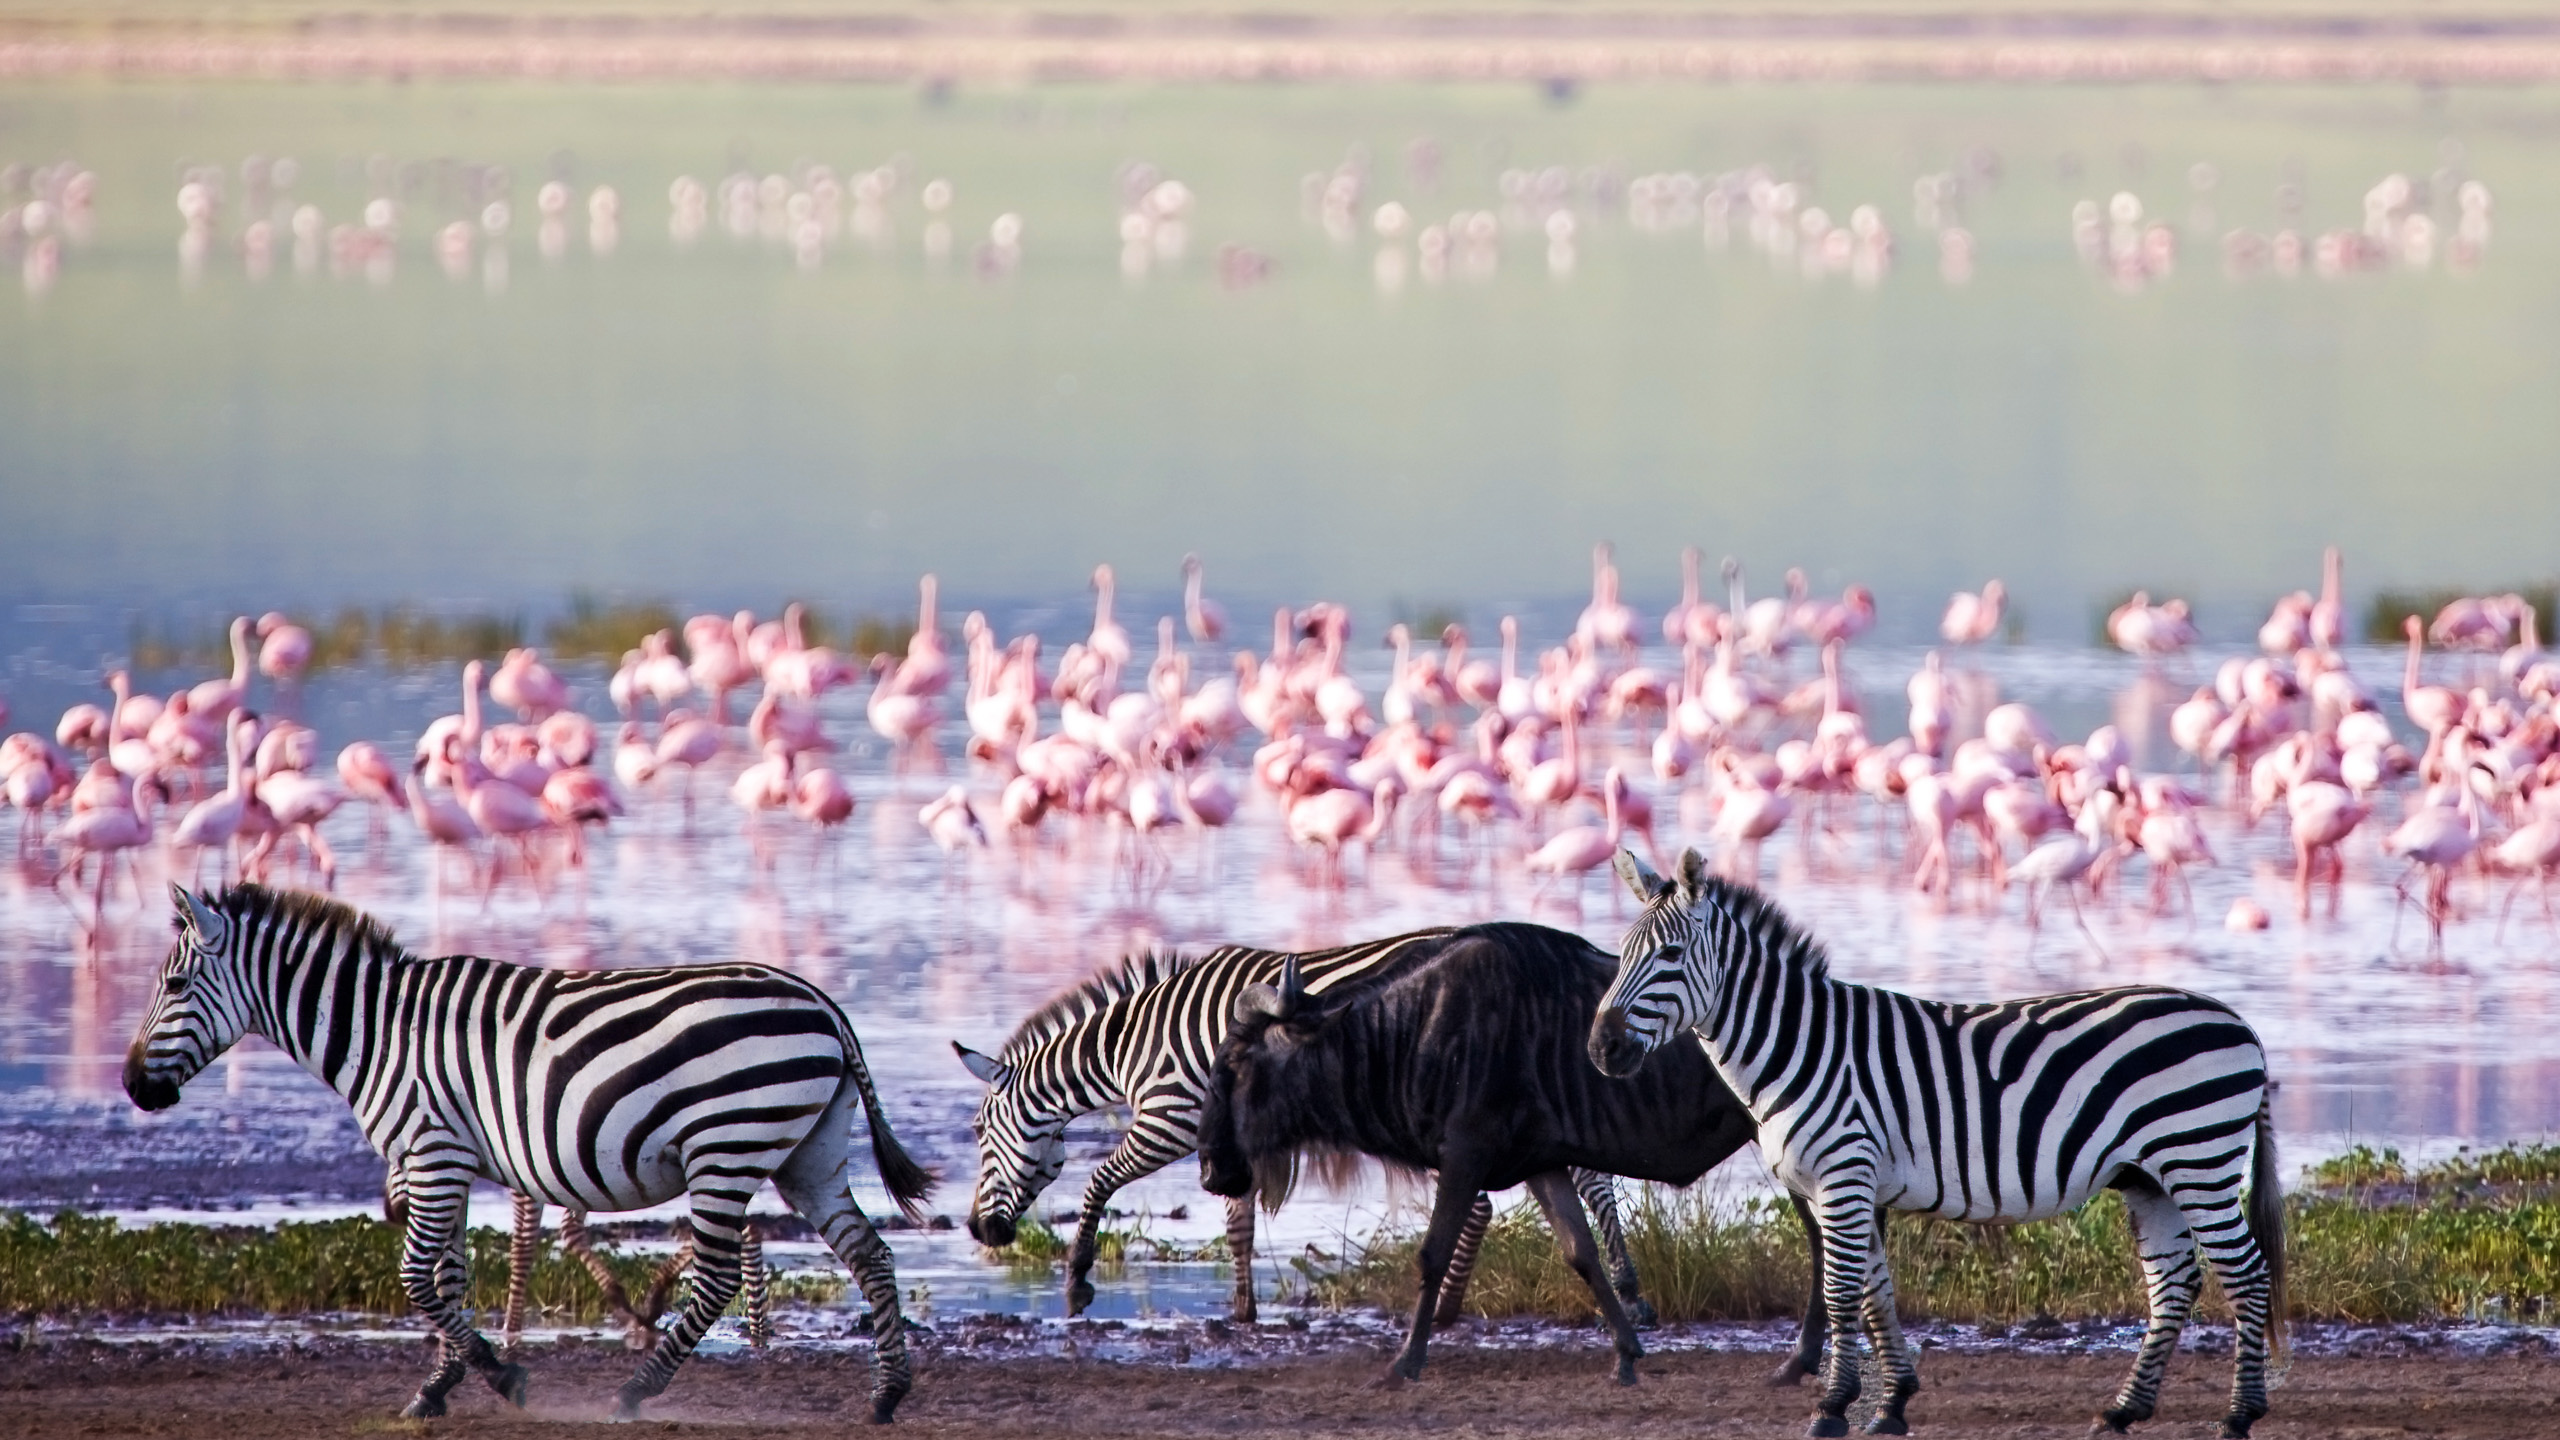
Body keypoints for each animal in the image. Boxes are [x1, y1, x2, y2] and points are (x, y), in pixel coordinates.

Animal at [127, 881, 931, 1414]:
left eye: (176, 983)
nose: (134, 1085)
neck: (379, 1031)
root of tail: (819, 1001)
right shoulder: (443, 1159)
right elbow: (446, 1275)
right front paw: (438, 1387)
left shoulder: (431, 1152)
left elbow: (416, 1276)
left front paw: (498, 1374)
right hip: (807, 1154)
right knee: (869, 1253)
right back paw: (887, 1394)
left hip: (725, 1147)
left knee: (719, 1275)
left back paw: (636, 1391)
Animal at [952, 932, 1648, 1322]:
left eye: (980, 1133)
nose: (978, 1230)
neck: (1134, 1044)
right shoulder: (1228, 1137)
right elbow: (1237, 1226)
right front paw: (1242, 1310)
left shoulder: (1170, 1119)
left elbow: (1098, 1183)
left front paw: (1076, 1285)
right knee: (1582, 1180)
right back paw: (1628, 1288)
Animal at [1587, 850, 2293, 1434]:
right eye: (1621, 955)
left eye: (1670, 956)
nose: (1601, 1049)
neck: (1800, 1047)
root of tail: (2239, 1022)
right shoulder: (1847, 1185)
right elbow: (1876, 1293)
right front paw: (1892, 1404)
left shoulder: (1844, 1176)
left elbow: (1842, 1293)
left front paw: (1832, 1408)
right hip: (2151, 1177)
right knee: (2173, 1281)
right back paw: (2124, 1410)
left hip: (2198, 1159)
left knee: (2247, 1274)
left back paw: (2240, 1414)